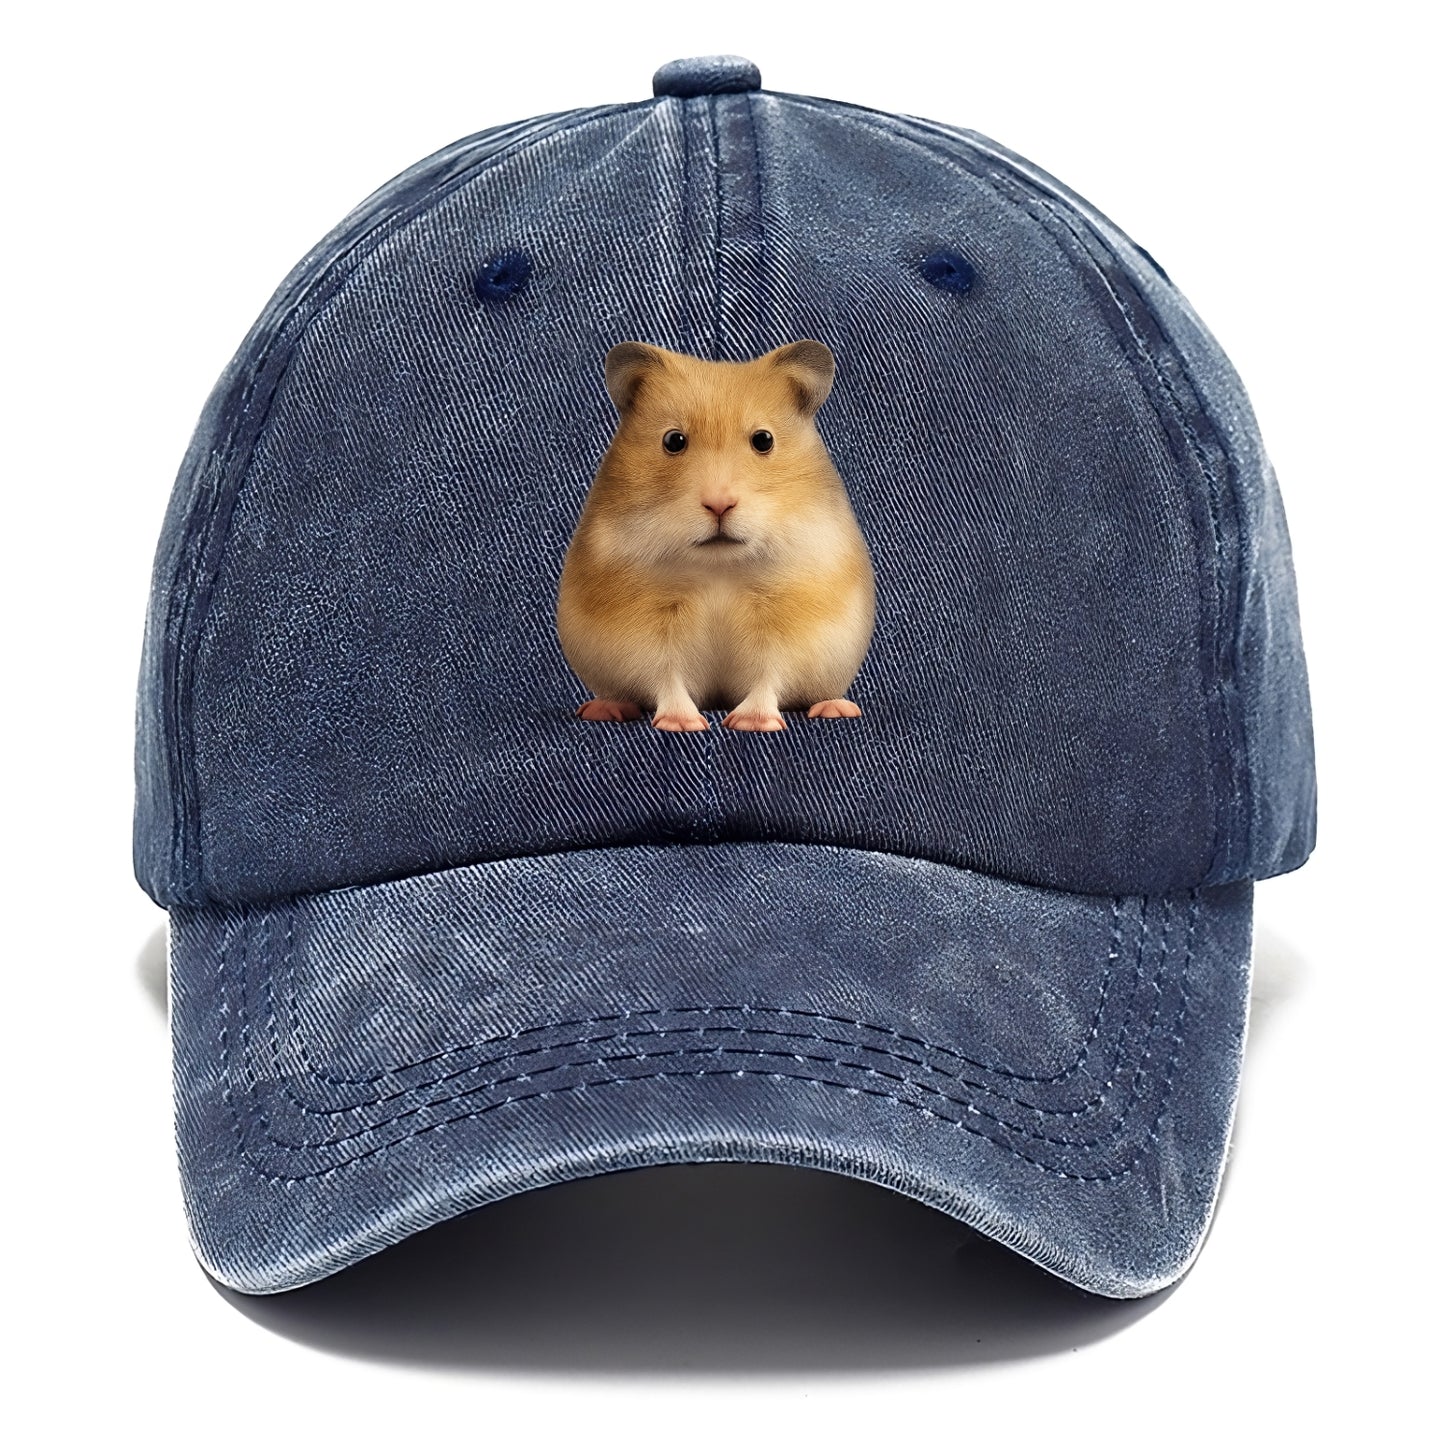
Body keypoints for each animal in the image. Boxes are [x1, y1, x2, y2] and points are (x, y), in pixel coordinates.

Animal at [556, 340, 876, 732]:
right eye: (673, 440)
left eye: (763, 440)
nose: (719, 504)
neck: (718, 567)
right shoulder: (647, 632)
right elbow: (666, 675)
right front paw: (682, 724)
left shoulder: (785, 626)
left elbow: (769, 674)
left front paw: (751, 723)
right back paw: (604, 709)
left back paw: (837, 708)